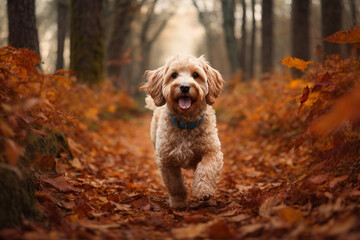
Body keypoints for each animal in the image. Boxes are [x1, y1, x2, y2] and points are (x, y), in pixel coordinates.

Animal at [140, 54, 222, 208]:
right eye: (174, 75)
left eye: (195, 75)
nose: (184, 87)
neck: (186, 124)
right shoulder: (166, 161)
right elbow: (175, 183)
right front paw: (178, 202)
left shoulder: (212, 151)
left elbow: (206, 169)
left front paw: (203, 191)